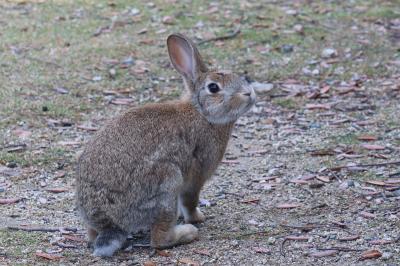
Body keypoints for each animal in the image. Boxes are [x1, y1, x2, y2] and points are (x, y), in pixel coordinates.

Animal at [75, 32, 256, 256]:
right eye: (213, 87)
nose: (249, 94)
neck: (202, 113)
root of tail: (109, 222)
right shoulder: (196, 175)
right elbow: (190, 200)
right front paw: (197, 218)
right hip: (168, 184)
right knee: (159, 239)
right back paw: (187, 232)